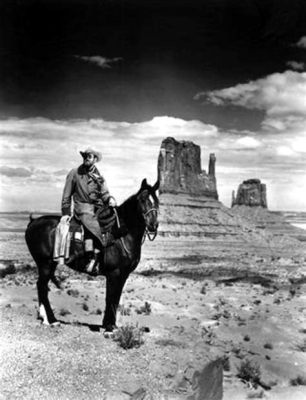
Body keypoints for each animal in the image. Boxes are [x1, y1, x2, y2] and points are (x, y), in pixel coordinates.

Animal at [24, 180, 159, 332]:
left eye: (156, 201)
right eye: (142, 200)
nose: (153, 225)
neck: (122, 234)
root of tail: (33, 222)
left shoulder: (123, 275)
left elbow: (116, 298)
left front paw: (110, 325)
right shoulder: (114, 273)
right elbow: (110, 298)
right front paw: (109, 328)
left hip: (50, 264)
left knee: (41, 286)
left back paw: (44, 317)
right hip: (45, 264)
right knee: (42, 287)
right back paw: (51, 320)